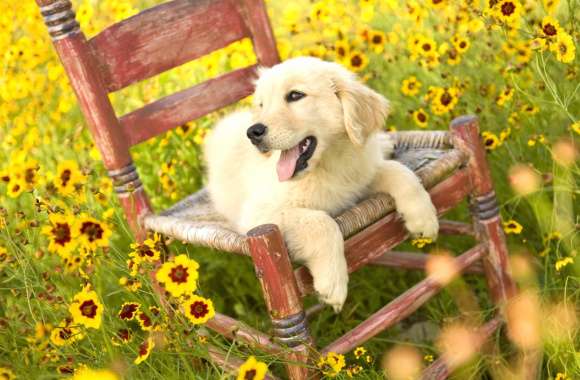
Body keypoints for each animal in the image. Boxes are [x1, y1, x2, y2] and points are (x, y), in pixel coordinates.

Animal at [206, 56, 438, 312]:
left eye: (295, 95)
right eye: (262, 105)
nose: (253, 132)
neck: (326, 166)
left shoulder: (359, 178)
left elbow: (402, 172)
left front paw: (424, 219)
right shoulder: (259, 215)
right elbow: (322, 221)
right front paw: (332, 283)